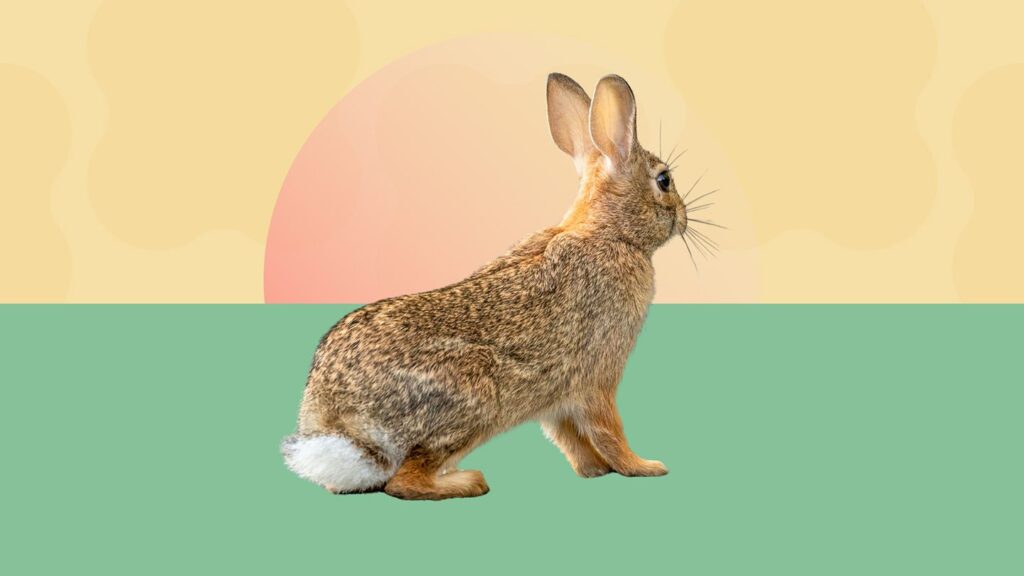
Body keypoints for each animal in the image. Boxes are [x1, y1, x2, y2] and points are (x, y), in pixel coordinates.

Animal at [282, 73, 691, 500]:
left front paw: (594, 470)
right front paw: (644, 467)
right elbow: (608, 430)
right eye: (664, 180)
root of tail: (333, 423)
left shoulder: (556, 399)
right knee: (404, 480)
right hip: (476, 394)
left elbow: (569, 437)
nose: (684, 216)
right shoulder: (598, 376)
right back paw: (468, 481)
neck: (611, 232)